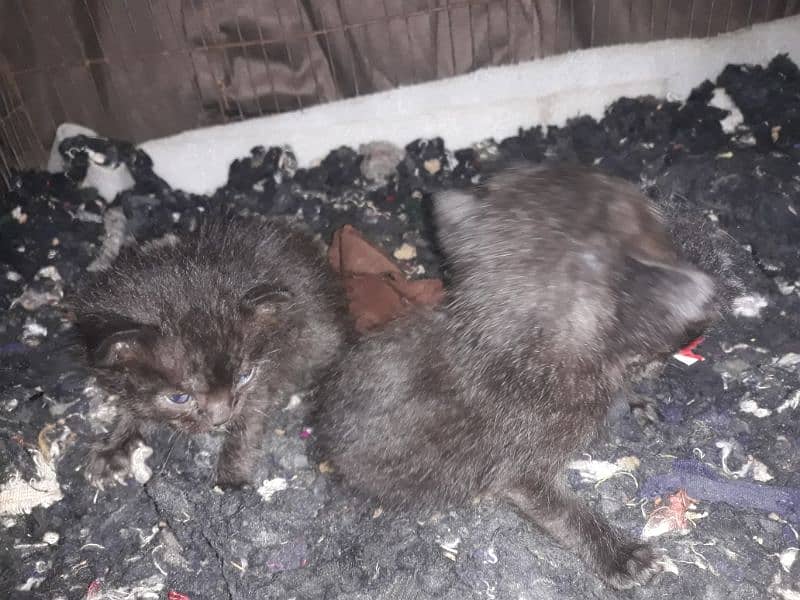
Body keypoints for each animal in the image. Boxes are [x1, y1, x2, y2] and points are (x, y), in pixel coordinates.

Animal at [73, 216, 348, 488]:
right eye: (179, 398)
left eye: (244, 376)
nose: (221, 419)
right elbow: (132, 405)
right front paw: (114, 447)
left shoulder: (262, 379)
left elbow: (248, 424)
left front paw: (230, 483)